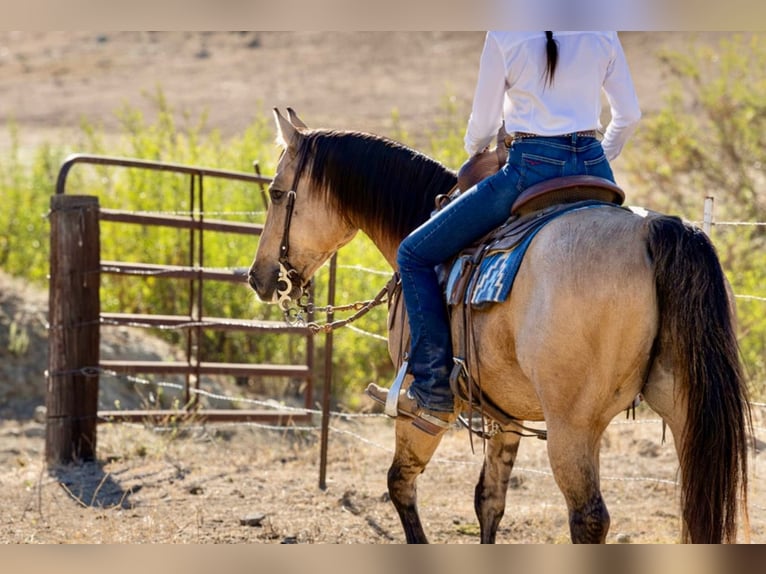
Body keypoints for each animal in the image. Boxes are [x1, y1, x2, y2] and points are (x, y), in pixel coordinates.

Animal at [247, 108, 751, 544]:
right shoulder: (504, 411)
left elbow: (399, 483)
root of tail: (653, 231)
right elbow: (488, 501)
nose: (258, 277)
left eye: (276, 192)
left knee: (589, 519)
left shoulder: (419, 401)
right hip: (687, 414)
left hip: (572, 427)